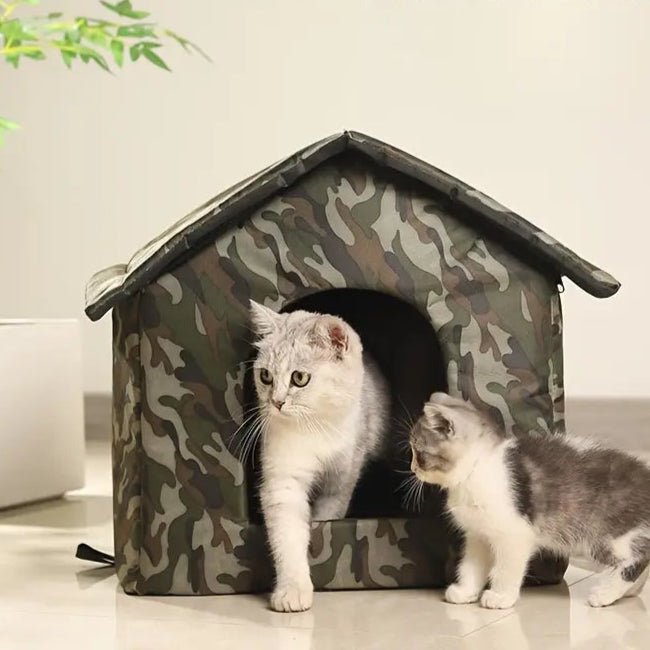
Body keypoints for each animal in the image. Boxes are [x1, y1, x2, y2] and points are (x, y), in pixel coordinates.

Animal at [248, 298, 390, 608]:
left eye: (299, 378)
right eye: (265, 376)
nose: (276, 402)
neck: (312, 431)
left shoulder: (341, 478)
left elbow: (327, 515)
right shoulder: (282, 481)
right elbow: (287, 537)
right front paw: (292, 590)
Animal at [410, 390, 648, 608]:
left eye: (419, 454)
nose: (413, 469)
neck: (476, 470)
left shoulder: (514, 533)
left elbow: (506, 567)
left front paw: (501, 597)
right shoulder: (478, 534)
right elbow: (472, 565)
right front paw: (465, 591)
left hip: (606, 534)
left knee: (638, 558)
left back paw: (605, 594)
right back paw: (627, 592)